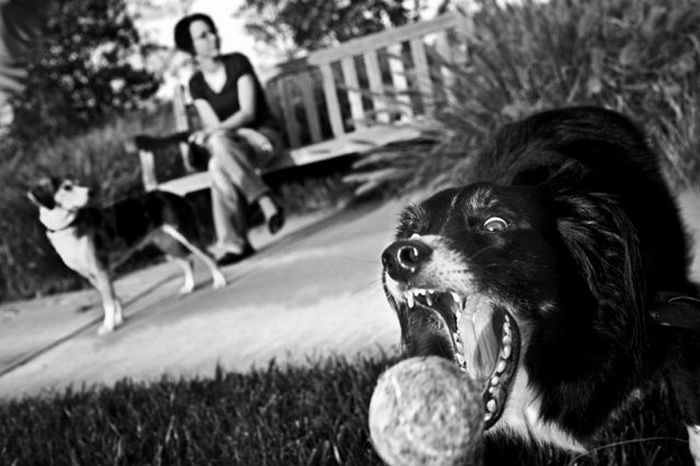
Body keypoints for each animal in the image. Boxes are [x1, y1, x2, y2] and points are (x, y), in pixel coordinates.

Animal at [28, 178, 226, 335]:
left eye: (74, 184)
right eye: (67, 187)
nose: (91, 191)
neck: (67, 226)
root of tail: (176, 196)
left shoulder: (100, 270)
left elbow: (108, 302)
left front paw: (108, 326)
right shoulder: (94, 275)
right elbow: (114, 299)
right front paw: (118, 320)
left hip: (186, 235)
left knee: (208, 256)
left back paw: (219, 282)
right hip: (166, 244)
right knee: (188, 262)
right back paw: (189, 287)